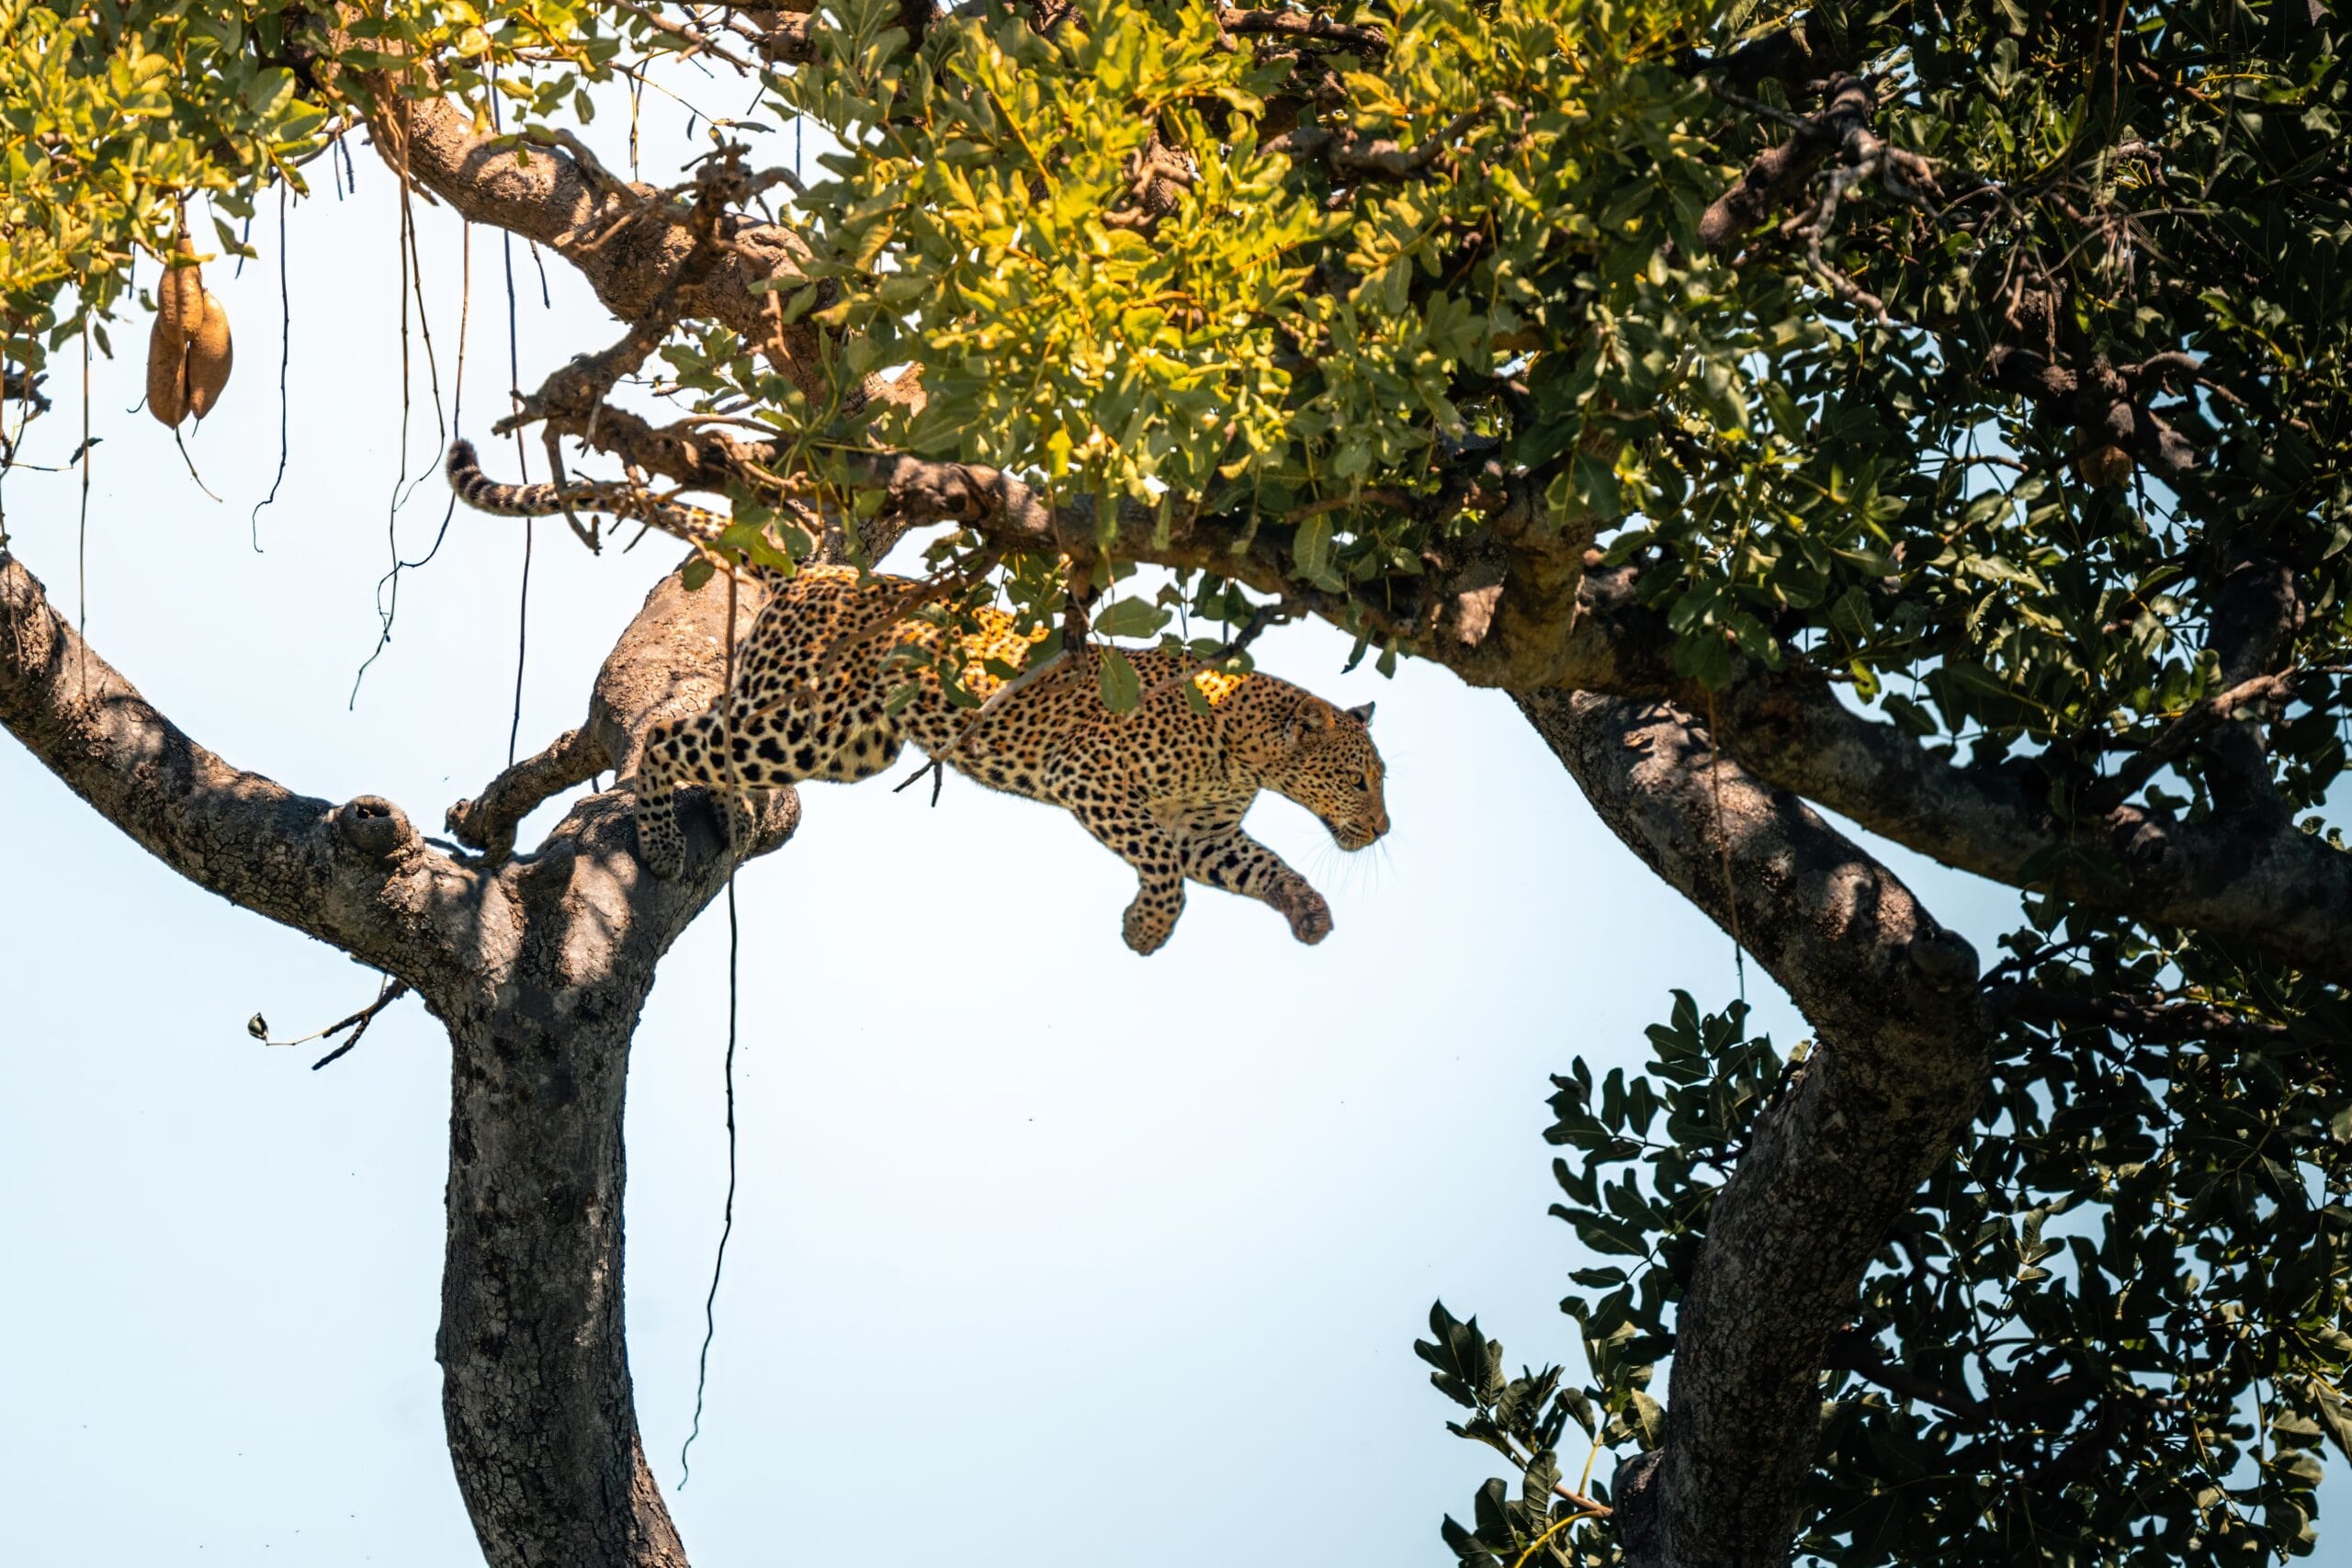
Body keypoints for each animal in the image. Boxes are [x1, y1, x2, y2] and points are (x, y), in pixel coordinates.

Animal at [445, 440, 1390, 954]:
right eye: (1361, 778)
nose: (1382, 829)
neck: (1248, 752)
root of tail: (826, 573)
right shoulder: (1093, 780)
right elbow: (1163, 868)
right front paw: (1146, 930)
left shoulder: (1206, 831)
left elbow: (1260, 864)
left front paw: (1308, 911)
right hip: (802, 723)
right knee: (670, 736)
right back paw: (663, 840)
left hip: (843, 743)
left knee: (695, 732)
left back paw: (717, 810)